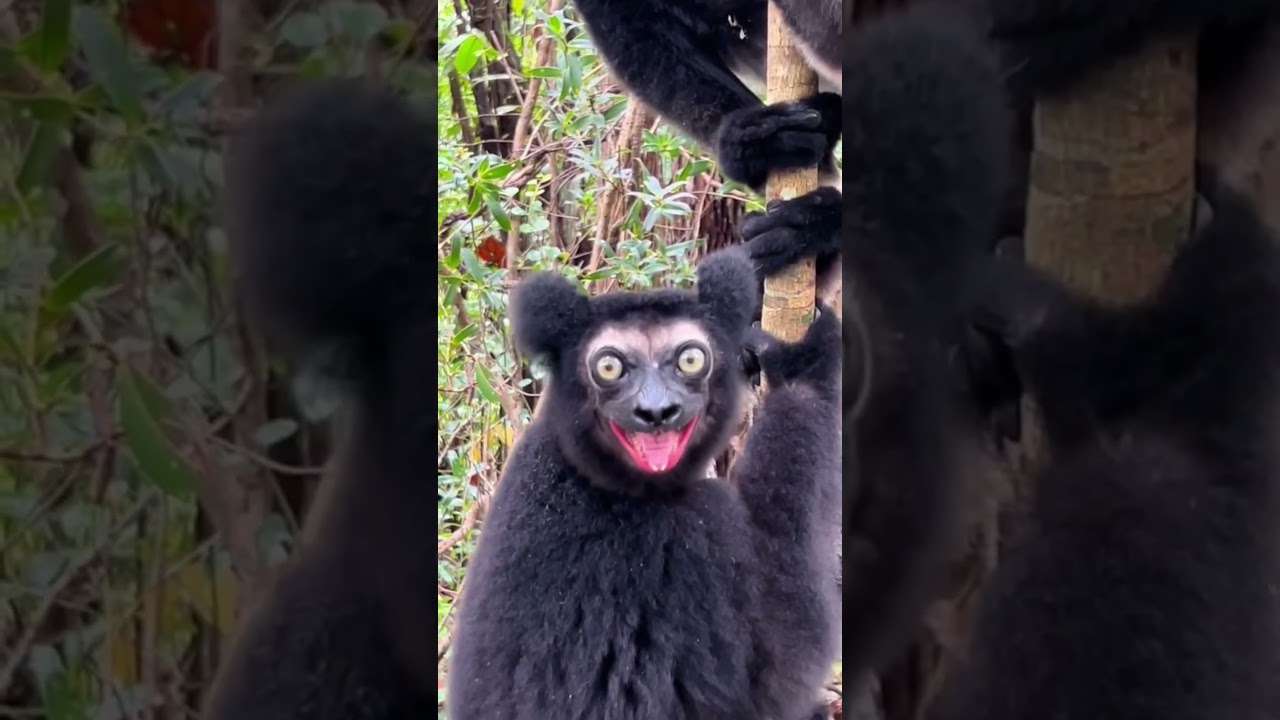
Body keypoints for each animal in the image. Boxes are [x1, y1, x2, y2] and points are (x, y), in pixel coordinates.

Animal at [444, 250, 842, 719]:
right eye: (609, 367)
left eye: (690, 360)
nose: (655, 411)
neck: (599, 480)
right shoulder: (688, 538)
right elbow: (787, 650)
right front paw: (807, 365)